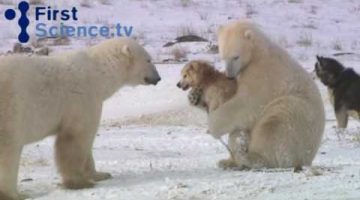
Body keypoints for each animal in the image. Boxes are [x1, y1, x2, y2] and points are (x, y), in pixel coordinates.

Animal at [0, 38, 160, 200]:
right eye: (148, 60)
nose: (158, 78)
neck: (98, 73)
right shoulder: (82, 100)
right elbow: (76, 139)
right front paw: (81, 182)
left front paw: (101, 174)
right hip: (11, 109)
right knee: (9, 150)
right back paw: (15, 194)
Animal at [202, 21, 326, 170]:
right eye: (223, 56)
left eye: (236, 57)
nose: (229, 75)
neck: (258, 52)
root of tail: (309, 158)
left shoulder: (263, 74)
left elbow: (246, 104)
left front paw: (212, 127)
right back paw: (228, 160)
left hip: (300, 118)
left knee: (276, 122)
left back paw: (251, 158)